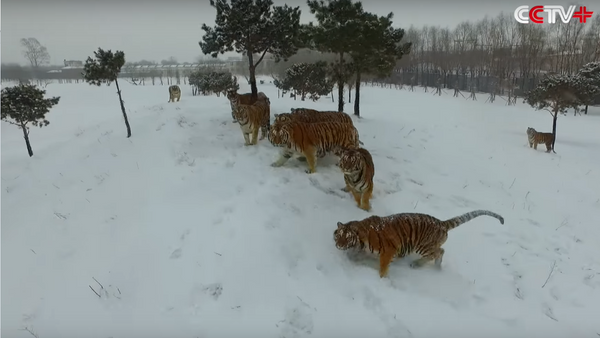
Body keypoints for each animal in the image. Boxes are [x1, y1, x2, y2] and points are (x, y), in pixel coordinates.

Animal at [336, 210, 504, 278]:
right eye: (338, 236)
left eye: (347, 237)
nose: (338, 245)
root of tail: (441, 223)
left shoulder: (388, 251)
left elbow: (383, 267)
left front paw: (383, 279)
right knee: (440, 250)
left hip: (423, 246)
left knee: (439, 252)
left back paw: (422, 265)